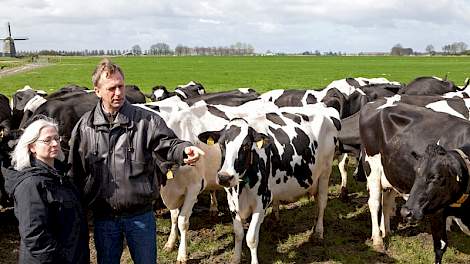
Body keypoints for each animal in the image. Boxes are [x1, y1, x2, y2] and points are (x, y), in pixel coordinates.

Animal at [196, 103, 340, 264]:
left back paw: (319, 232)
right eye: (221, 144)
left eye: (246, 146)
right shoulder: (232, 202)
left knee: (321, 202)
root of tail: (323, 107)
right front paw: (236, 259)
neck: (241, 188)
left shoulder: (262, 201)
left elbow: (251, 238)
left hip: (325, 172)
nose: (224, 177)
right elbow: (238, 234)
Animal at [360, 100, 470, 262]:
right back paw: (378, 240)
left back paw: (386, 231)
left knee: (386, 202)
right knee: (374, 202)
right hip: (372, 167)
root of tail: (374, 103)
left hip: (392, 172)